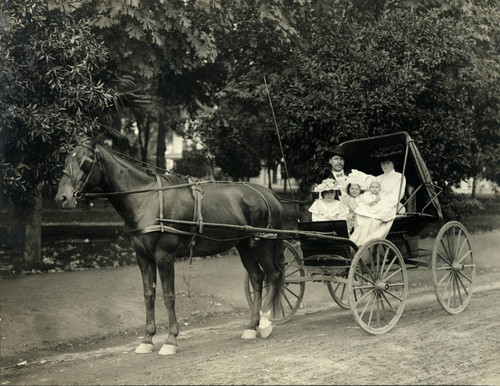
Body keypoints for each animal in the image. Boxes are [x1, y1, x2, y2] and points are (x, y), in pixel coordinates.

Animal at [55, 138, 286, 356]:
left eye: (84, 161)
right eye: (66, 160)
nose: (61, 198)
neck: (145, 198)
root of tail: (270, 194)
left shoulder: (164, 256)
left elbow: (168, 295)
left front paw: (170, 340)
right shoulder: (143, 257)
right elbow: (149, 295)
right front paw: (147, 339)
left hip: (263, 244)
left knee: (273, 276)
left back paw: (265, 323)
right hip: (245, 246)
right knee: (257, 278)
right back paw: (251, 326)